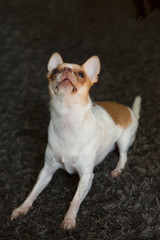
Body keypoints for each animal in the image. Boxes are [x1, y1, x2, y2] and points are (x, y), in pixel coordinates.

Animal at [10, 52, 141, 229]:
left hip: (124, 140)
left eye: (81, 74)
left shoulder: (86, 176)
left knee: (123, 155)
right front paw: (22, 208)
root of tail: (128, 109)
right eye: (55, 71)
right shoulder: (46, 171)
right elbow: (34, 191)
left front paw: (69, 219)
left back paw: (117, 169)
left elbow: (75, 200)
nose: (66, 69)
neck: (67, 121)